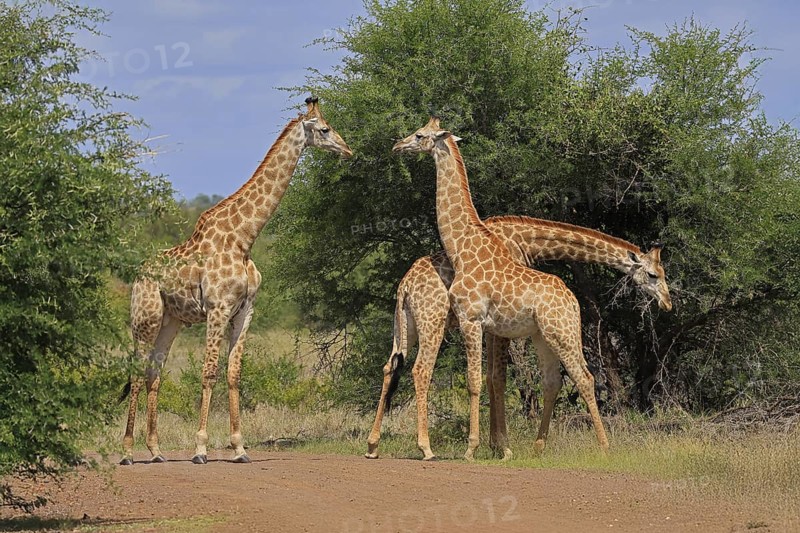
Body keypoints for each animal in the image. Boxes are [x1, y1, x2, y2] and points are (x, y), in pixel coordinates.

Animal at [120, 97, 352, 465]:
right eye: (326, 129)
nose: (347, 150)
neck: (244, 237)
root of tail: (139, 273)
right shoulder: (217, 308)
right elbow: (209, 371)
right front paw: (200, 448)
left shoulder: (245, 310)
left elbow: (233, 372)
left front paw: (240, 447)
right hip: (146, 317)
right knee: (136, 371)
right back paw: (127, 452)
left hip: (171, 321)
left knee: (154, 371)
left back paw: (155, 451)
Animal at [363, 216, 670, 460]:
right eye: (653, 274)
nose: (667, 303)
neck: (527, 241)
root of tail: (404, 285)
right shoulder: (498, 320)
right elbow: (497, 378)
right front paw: (501, 446)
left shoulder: (493, 324)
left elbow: (492, 378)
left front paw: (495, 445)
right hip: (432, 320)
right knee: (421, 370)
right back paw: (425, 447)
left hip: (406, 325)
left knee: (390, 367)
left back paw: (373, 444)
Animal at [392, 117, 608, 461]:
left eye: (420, 134)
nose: (398, 146)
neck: (461, 247)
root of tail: (573, 301)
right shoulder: (482, 324)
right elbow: (488, 381)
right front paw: (492, 447)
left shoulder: (470, 318)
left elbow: (475, 381)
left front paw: (472, 448)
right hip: (544, 336)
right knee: (554, 381)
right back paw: (539, 446)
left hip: (561, 332)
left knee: (584, 378)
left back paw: (603, 447)